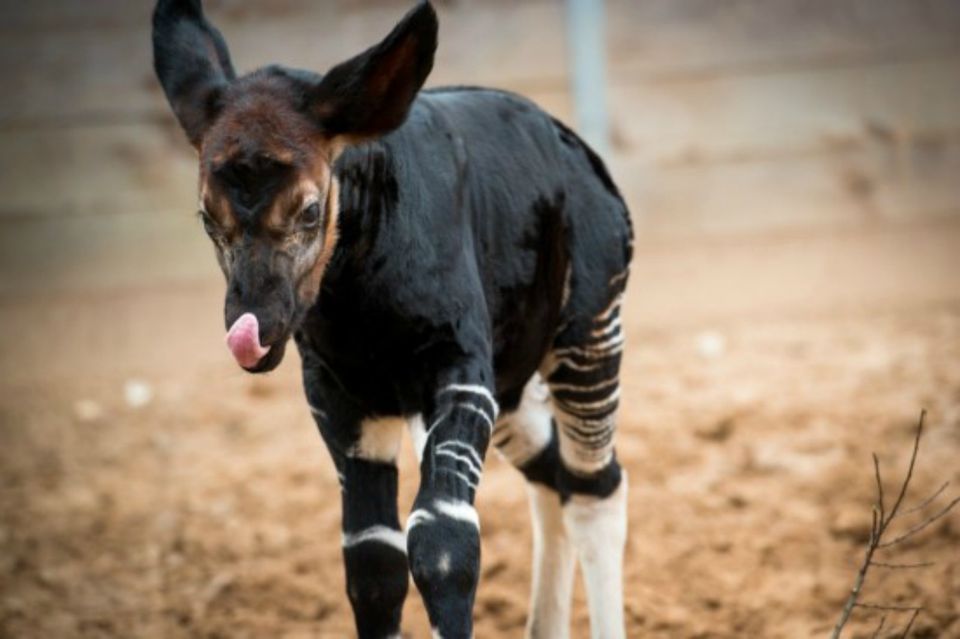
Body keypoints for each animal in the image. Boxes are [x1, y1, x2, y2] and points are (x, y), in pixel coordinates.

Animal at [152, 2, 632, 636]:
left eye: (310, 210)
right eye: (207, 217)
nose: (252, 331)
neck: (360, 299)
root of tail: (573, 142)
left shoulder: (455, 369)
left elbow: (444, 542)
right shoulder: (342, 397)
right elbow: (372, 561)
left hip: (588, 331)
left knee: (594, 488)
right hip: (508, 385)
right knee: (552, 477)